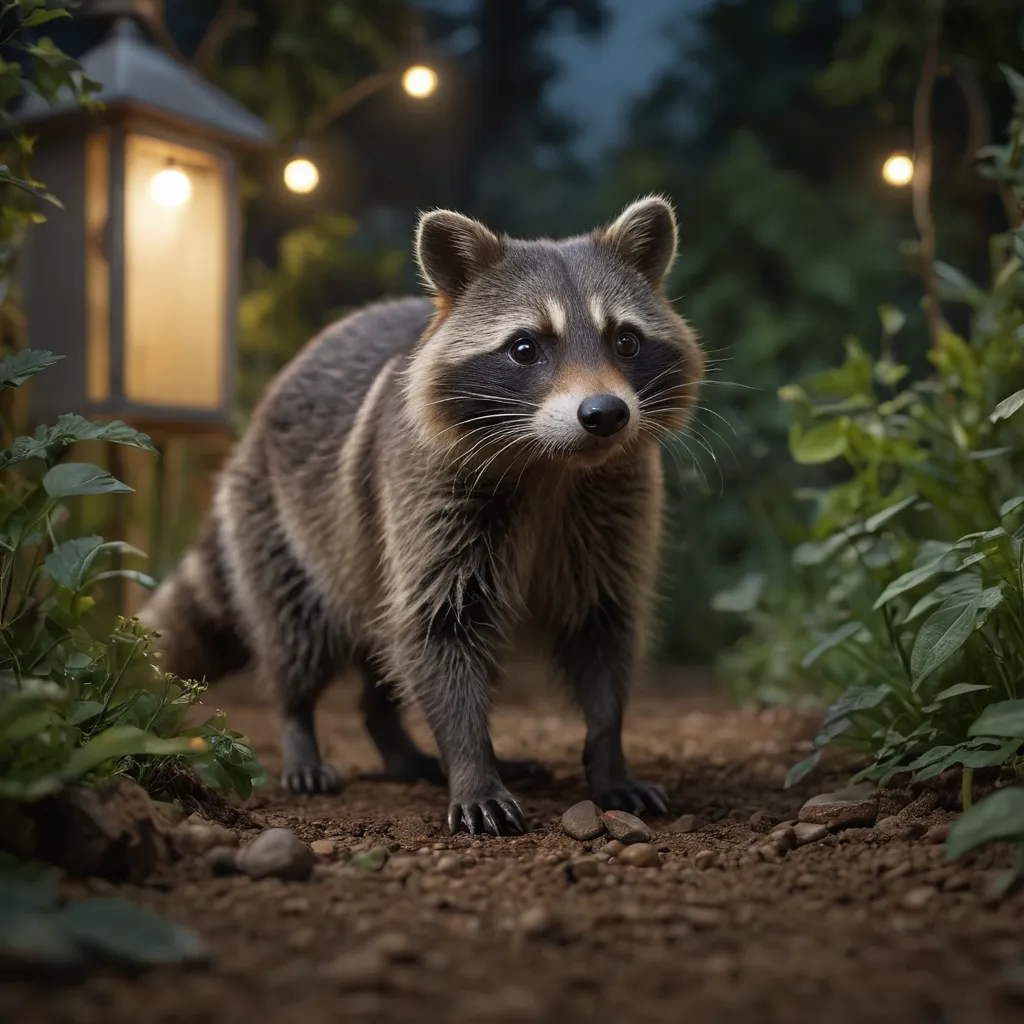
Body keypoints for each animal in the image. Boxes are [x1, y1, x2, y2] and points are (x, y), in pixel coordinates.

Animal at [141, 196, 705, 836]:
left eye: (626, 341)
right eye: (525, 347)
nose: (605, 414)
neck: (550, 464)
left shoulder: (611, 506)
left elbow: (602, 628)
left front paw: (609, 755)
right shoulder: (426, 490)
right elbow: (439, 627)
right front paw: (473, 765)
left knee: (385, 653)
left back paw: (399, 742)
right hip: (284, 523)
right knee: (298, 635)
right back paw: (300, 728)